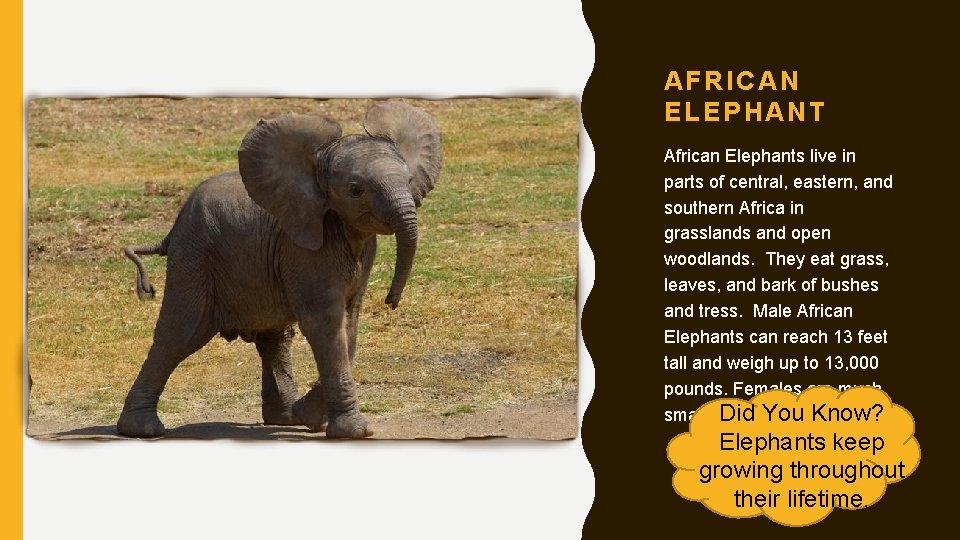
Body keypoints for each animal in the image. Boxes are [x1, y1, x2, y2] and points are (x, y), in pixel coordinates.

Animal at [116, 101, 442, 439]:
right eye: (355, 190)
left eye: (408, 181)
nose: (392, 300)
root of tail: (172, 228)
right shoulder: (304, 249)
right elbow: (325, 323)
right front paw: (353, 431)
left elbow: (349, 322)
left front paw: (311, 417)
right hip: (194, 258)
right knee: (179, 335)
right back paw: (142, 429)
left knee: (275, 340)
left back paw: (287, 417)